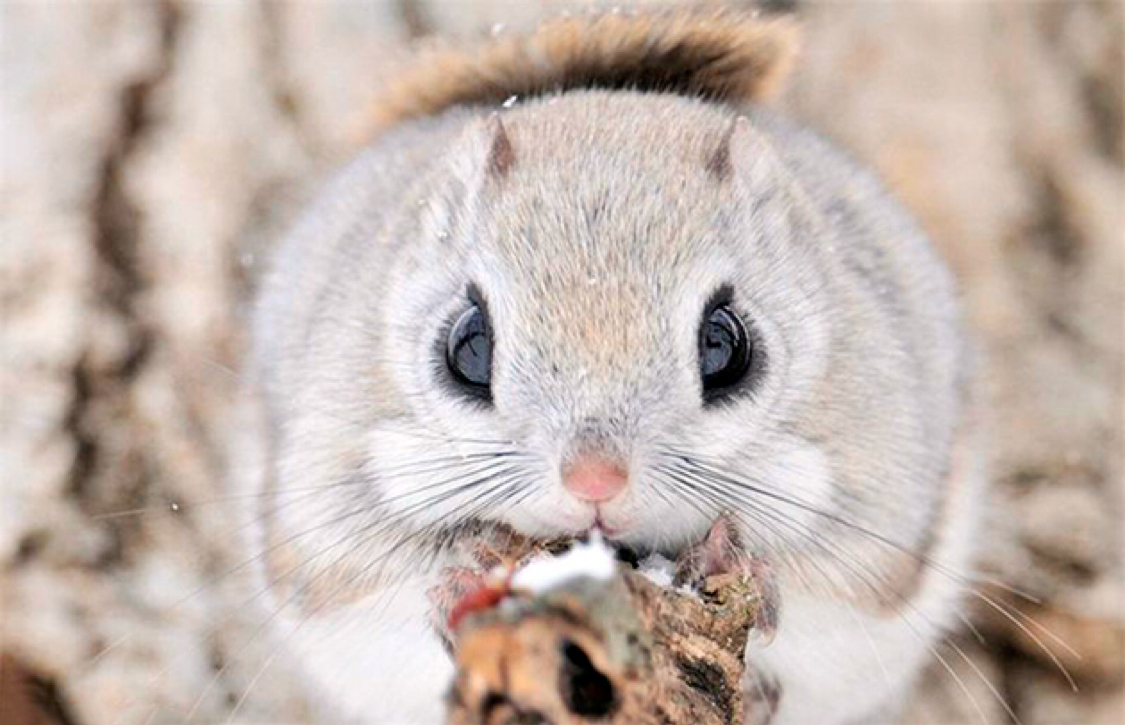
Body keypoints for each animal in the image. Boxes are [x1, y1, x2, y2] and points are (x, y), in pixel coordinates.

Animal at [239, 7, 985, 725]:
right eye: (467, 346)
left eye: (725, 345)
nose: (594, 480)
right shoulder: (328, 502)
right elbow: (375, 584)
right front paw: (462, 571)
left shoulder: (875, 495)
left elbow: (824, 584)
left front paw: (734, 560)